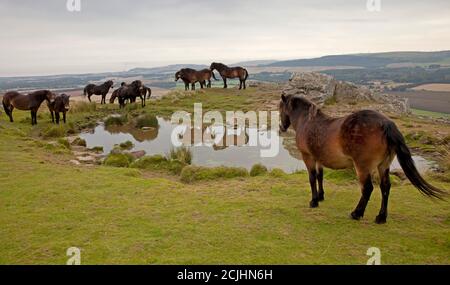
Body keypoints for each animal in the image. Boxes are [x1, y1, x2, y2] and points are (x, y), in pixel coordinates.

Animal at [280, 94, 444, 223]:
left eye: (280, 108)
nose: (281, 127)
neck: (307, 121)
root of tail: (387, 123)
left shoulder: (308, 157)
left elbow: (312, 178)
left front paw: (314, 201)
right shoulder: (319, 158)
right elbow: (320, 177)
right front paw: (320, 196)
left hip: (362, 167)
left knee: (368, 188)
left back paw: (356, 213)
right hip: (383, 165)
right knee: (385, 187)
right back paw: (381, 217)